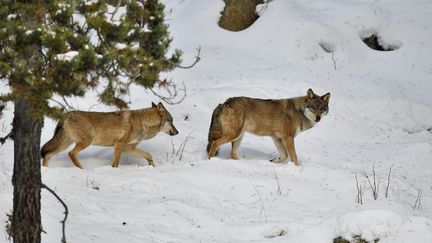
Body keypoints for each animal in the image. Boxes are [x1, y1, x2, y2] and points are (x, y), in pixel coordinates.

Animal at [39, 101, 177, 168]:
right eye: (172, 121)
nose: (177, 132)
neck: (143, 122)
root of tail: (66, 115)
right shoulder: (119, 144)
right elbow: (116, 163)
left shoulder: (128, 148)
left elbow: (148, 155)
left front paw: (152, 165)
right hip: (85, 142)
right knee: (71, 153)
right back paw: (82, 169)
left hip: (64, 144)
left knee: (47, 155)